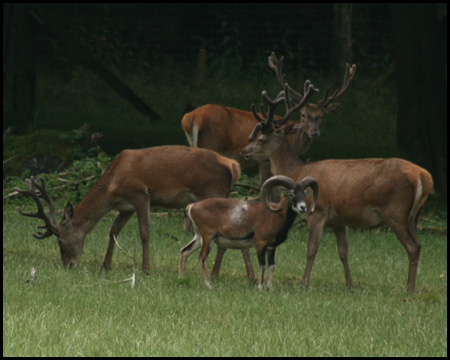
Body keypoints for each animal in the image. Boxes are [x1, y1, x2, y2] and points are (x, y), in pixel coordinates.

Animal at [14, 145, 256, 274]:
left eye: (60, 242)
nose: (69, 266)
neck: (113, 183)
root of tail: (233, 166)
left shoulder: (140, 194)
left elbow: (144, 232)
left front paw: (146, 268)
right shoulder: (125, 206)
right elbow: (113, 230)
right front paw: (105, 265)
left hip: (213, 192)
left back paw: (224, 275)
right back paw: (248, 277)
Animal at [181, 174, 318, 290]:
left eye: (304, 194)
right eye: (291, 194)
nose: (302, 207)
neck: (275, 216)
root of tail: (192, 206)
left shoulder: (271, 248)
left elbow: (272, 266)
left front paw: (270, 289)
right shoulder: (260, 244)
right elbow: (262, 265)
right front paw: (260, 288)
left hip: (199, 237)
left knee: (184, 251)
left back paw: (181, 278)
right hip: (208, 238)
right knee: (202, 257)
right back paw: (209, 285)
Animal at [241, 83, 434, 292]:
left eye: (261, 139)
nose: (244, 151)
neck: (298, 170)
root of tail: (424, 175)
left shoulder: (318, 211)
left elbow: (311, 249)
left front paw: (304, 283)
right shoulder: (340, 220)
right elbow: (343, 252)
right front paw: (350, 285)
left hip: (396, 211)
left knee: (413, 246)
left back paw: (409, 289)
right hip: (413, 216)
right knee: (418, 244)